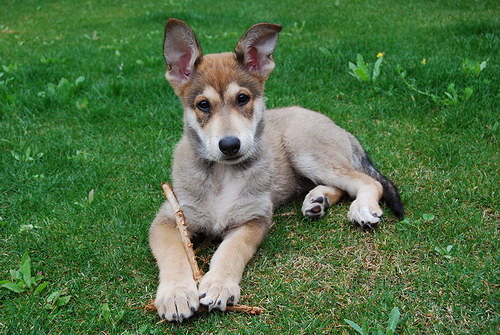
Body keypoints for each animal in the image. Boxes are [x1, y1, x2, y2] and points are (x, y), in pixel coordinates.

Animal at [148, 18, 402, 322]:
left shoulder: (255, 218)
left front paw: (220, 284)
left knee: (366, 182)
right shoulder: (169, 218)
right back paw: (318, 201)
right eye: (203, 105)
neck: (223, 174)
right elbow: (174, 254)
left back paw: (361, 208)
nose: (230, 145)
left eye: (242, 98)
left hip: (303, 148)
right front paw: (175, 294)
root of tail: (337, 126)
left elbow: (230, 250)